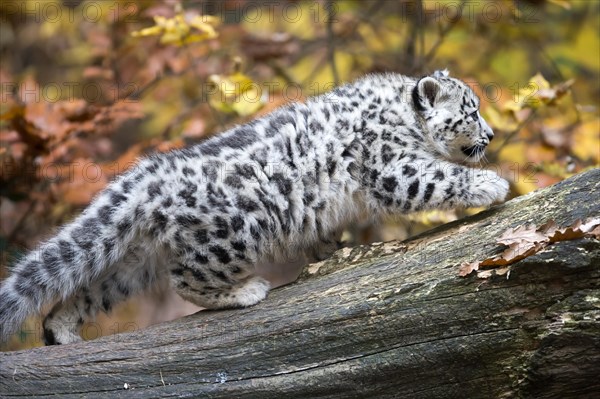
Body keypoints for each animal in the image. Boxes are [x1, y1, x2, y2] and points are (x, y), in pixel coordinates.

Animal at [0, 70, 508, 346]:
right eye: (471, 110)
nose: (492, 134)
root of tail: (147, 176)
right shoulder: (392, 166)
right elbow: (435, 177)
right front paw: (493, 183)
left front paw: (332, 250)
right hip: (235, 233)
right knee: (186, 280)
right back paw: (244, 291)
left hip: (134, 262)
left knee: (90, 288)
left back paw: (62, 328)